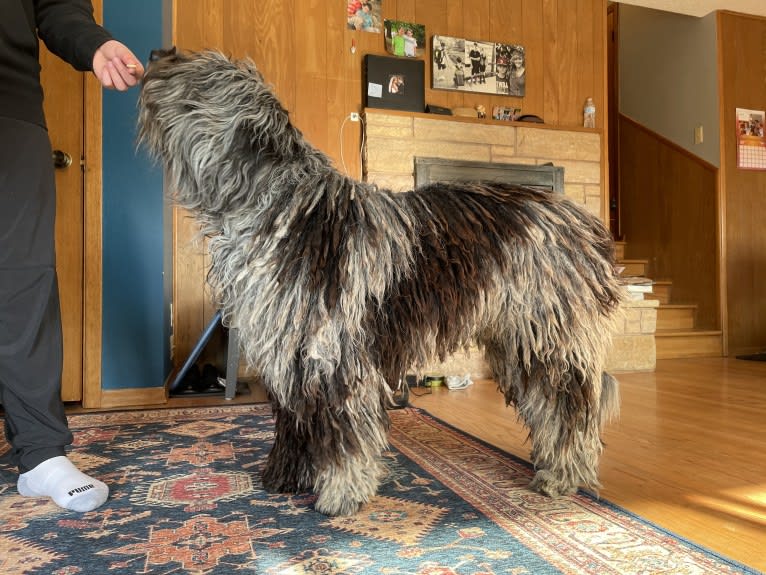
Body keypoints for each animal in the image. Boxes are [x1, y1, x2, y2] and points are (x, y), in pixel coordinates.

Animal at [138, 48, 628, 516]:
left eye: (194, 73)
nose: (153, 55)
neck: (280, 206)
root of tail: (582, 221)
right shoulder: (291, 353)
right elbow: (295, 421)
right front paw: (286, 477)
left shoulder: (334, 353)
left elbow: (344, 434)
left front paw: (342, 493)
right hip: (519, 342)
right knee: (549, 406)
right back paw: (550, 464)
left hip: (548, 338)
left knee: (569, 405)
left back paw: (563, 474)